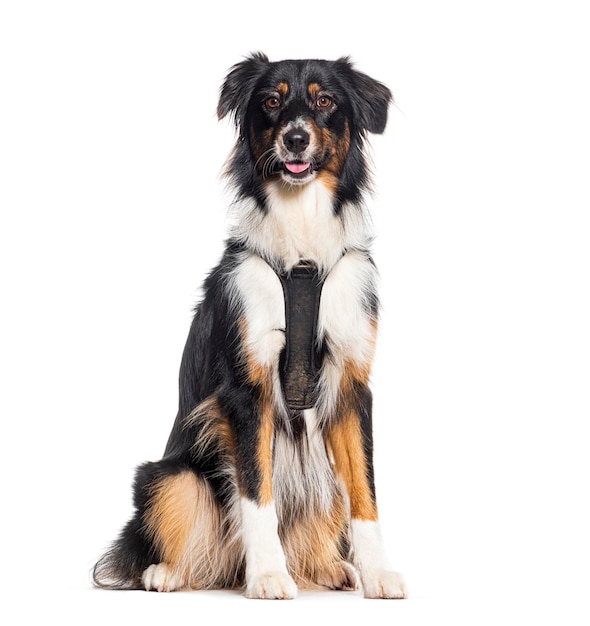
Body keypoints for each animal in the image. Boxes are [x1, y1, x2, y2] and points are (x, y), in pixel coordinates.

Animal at [93, 54, 408, 600]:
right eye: (272, 101)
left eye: (326, 101)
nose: (296, 139)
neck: (302, 251)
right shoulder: (246, 388)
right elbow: (257, 492)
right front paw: (267, 575)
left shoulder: (351, 385)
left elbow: (365, 492)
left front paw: (377, 572)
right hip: (169, 475)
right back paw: (168, 572)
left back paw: (329, 567)